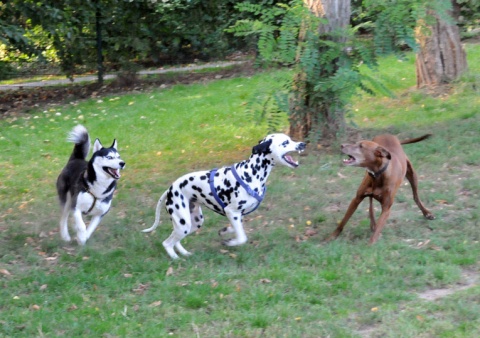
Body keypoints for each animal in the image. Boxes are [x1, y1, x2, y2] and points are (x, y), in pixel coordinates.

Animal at [143, 133, 308, 260]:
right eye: (285, 142)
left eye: (291, 139)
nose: (302, 144)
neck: (251, 173)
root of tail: (170, 189)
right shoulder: (232, 212)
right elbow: (242, 238)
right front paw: (230, 242)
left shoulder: (238, 215)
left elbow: (235, 229)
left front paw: (226, 231)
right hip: (183, 224)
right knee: (167, 243)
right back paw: (175, 258)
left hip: (193, 223)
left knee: (175, 240)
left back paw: (184, 253)